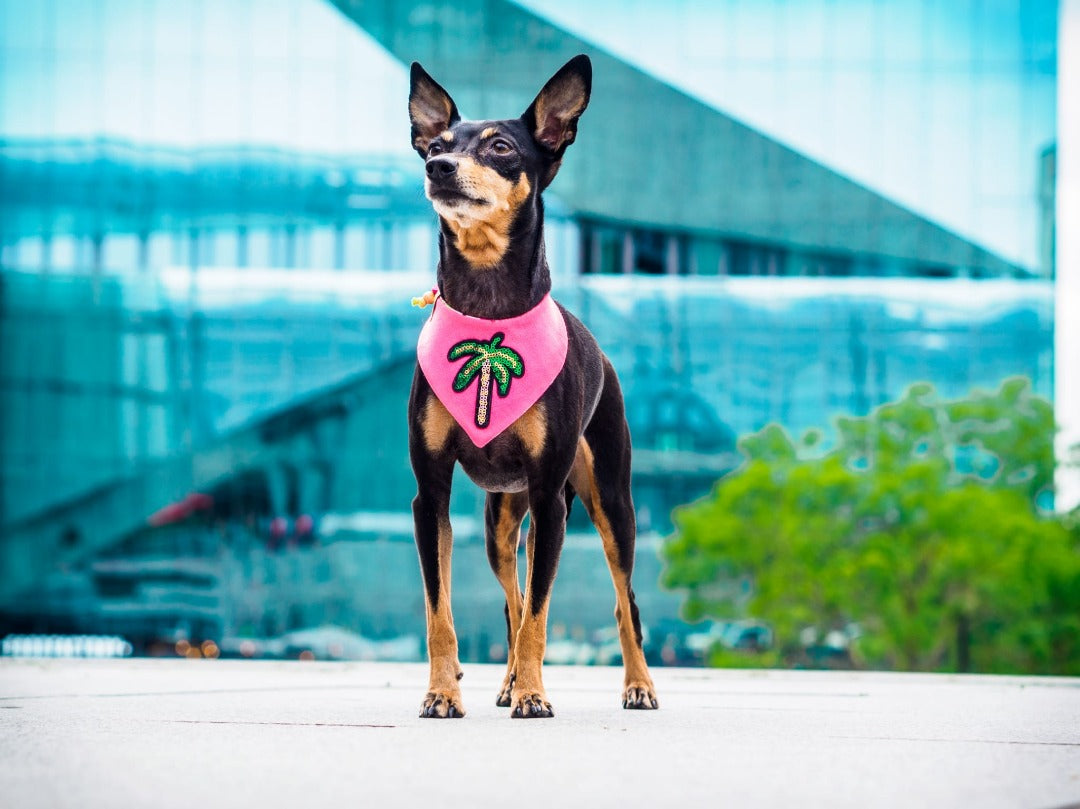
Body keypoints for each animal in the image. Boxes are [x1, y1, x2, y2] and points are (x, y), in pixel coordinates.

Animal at [406, 53, 652, 717]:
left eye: (500, 147)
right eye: (435, 145)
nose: (438, 169)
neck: (490, 312)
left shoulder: (548, 498)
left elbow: (542, 617)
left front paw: (535, 696)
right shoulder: (430, 496)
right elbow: (443, 613)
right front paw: (443, 693)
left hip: (607, 503)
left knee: (624, 602)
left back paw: (638, 685)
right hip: (501, 524)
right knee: (512, 599)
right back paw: (509, 679)